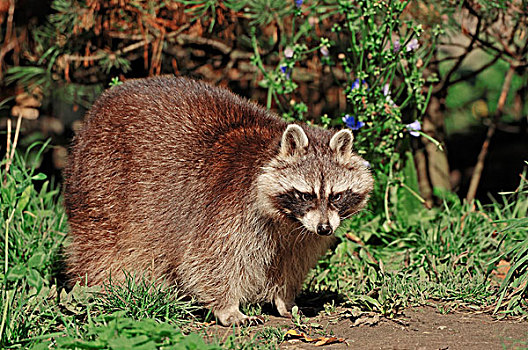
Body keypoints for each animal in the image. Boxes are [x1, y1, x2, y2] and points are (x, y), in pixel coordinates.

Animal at [64, 76, 374, 326]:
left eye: (336, 195)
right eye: (305, 194)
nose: (325, 228)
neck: (288, 220)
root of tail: (96, 109)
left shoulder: (302, 235)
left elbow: (291, 262)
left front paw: (285, 299)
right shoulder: (230, 206)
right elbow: (210, 259)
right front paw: (228, 307)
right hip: (102, 183)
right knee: (105, 247)